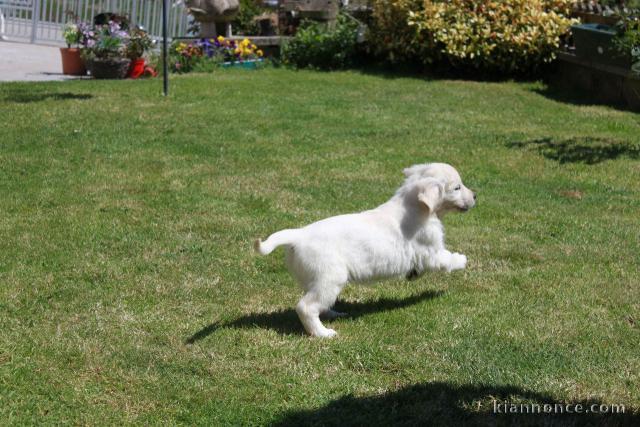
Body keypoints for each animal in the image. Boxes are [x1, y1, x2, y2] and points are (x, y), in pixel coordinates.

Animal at [254, 163, 476, 338]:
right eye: (457, 187)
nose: (475, 195)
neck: (415, 205)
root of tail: (298, 235)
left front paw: (414, 274)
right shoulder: (431, 252)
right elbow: (447, 259)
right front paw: (462, 260)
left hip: (314, 279)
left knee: (316, 302)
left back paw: (333, 314)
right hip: (330, 277)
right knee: (306, 307)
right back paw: (322, 333)